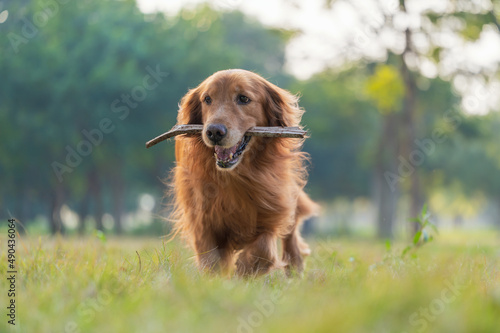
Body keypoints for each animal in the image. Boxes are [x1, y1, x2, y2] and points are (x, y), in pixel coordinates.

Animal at [170, 69, 318, 274]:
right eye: (207, 99)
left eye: (243, 98)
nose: (214, 132)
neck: (236, 176)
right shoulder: (202, 217)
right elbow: (210, 258)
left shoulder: (271, 204)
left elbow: (264, 249)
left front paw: (245, 269)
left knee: (291, 231)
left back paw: (295, 266)